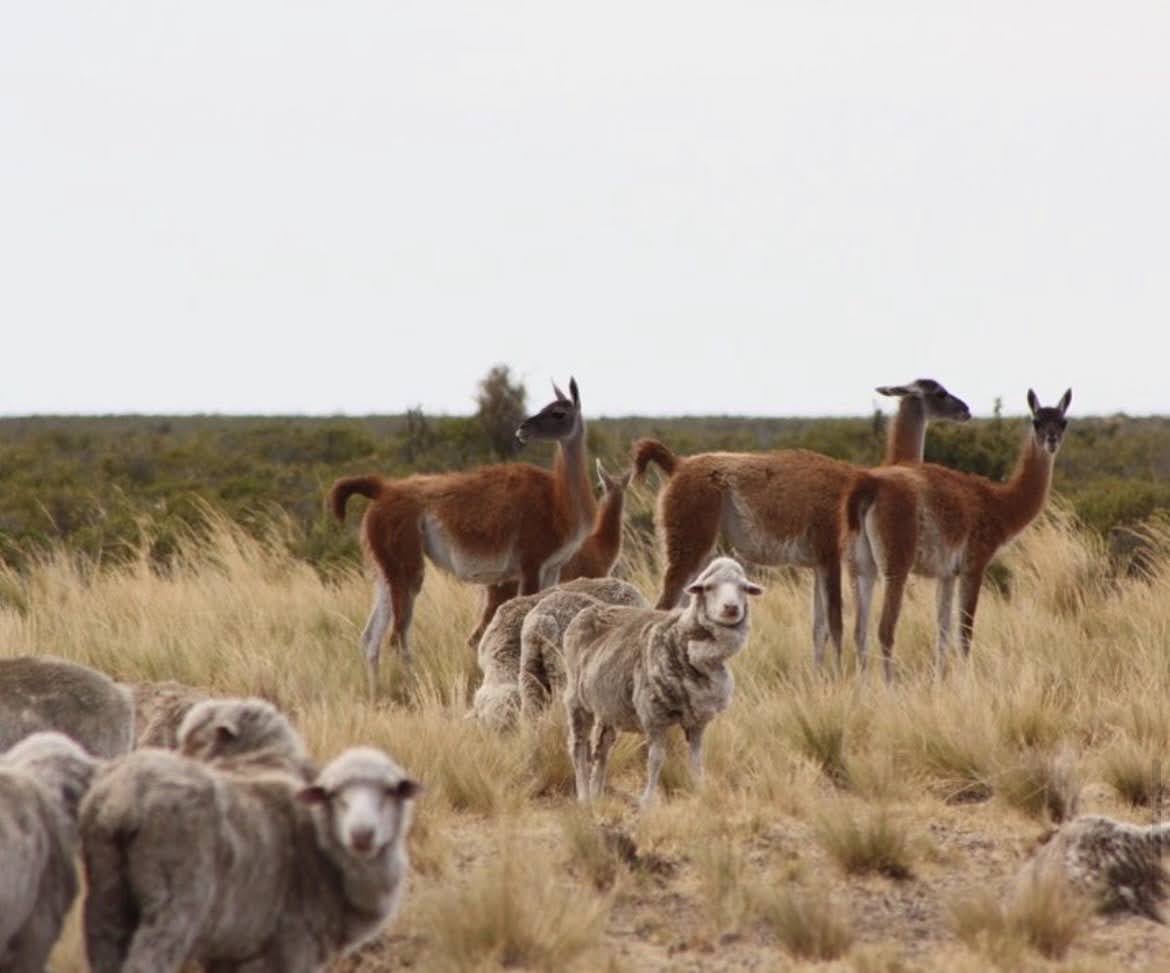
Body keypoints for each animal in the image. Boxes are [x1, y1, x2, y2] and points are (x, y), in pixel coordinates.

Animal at [81, 744, 420, 973]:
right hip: (173, 904)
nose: (362, 834)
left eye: (391, 792)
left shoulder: (229, 953)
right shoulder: (293, 946)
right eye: (333, 796)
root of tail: (124, 797)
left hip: (107, 894)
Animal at [562, 556, 762, 807]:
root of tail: (592, 610)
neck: (682, 639)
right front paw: (647, 801)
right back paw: (584, 798)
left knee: (602, 747)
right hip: (576, 700)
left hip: (608, 703)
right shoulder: (653, 716)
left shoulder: (698, 720)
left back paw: (597, 795)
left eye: (743, 587)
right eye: (709, 587)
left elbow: (696, 759)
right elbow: (656, 759)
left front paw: (700, 791)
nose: (731, 608)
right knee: (579, 747)